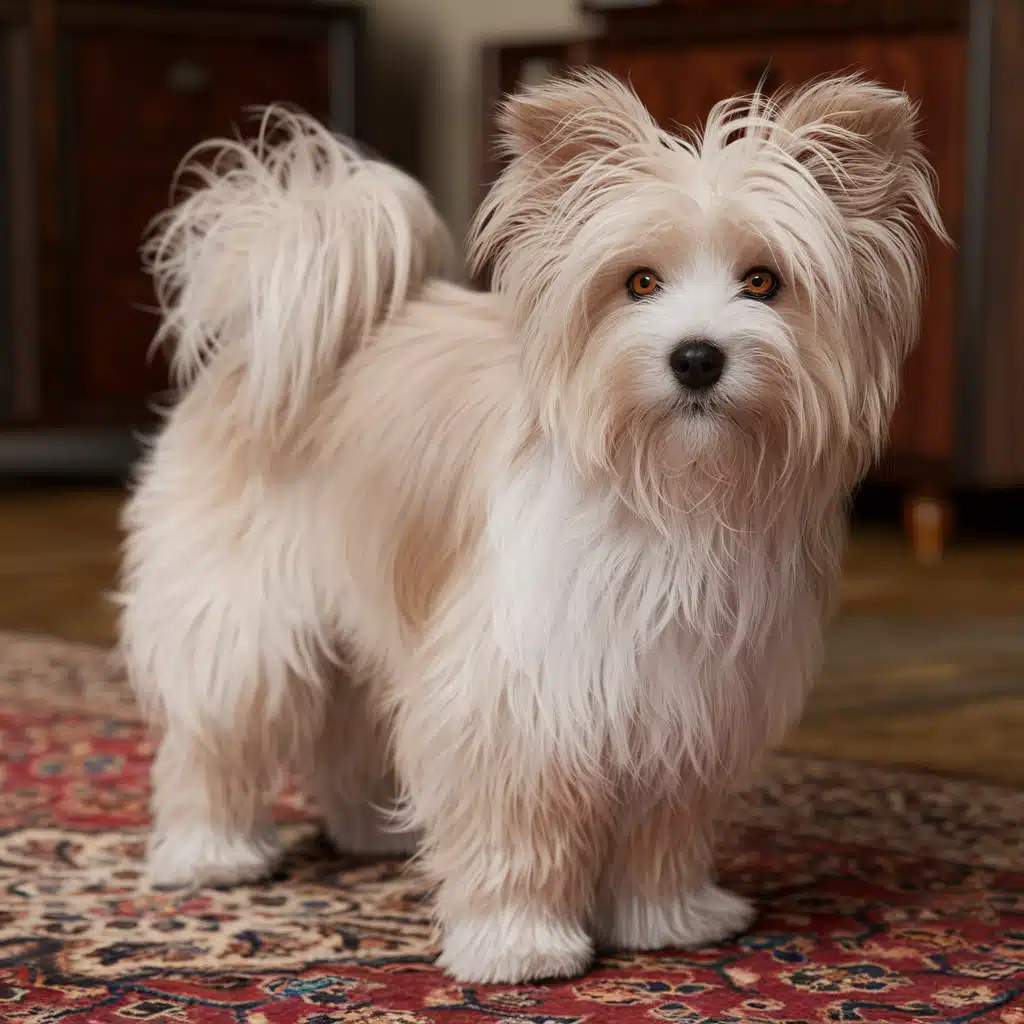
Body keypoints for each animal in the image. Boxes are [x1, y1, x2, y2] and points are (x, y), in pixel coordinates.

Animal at [117, 68, 942, 978]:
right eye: (639, 283)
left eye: (763, 282)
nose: (697, 356)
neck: (669, 491)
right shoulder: (513, 695)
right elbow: (517, 835)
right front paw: (519, 943)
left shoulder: (688, 700)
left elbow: (663, 833)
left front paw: (667, 918)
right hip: (241, 623)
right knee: (213, 740)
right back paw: (211, 854)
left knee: (350, 733)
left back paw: (373, 832)